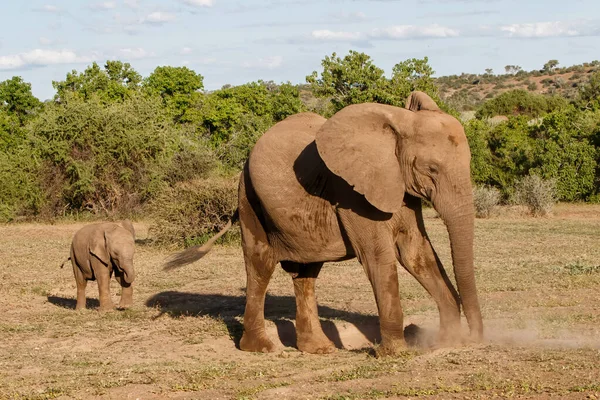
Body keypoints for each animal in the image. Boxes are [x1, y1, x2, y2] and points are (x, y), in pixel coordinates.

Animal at [164, 92, 482, 354]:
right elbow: (379, 257)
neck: (396, 123)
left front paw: (445, 342)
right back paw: (262, 348)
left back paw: (319, 349)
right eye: (432, 169)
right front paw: (395, 353)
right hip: (249, 198)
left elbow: (415, 251)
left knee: (306, 274)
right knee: (260, 265)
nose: (476, 338)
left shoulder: (398, 186)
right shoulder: (350, 191)